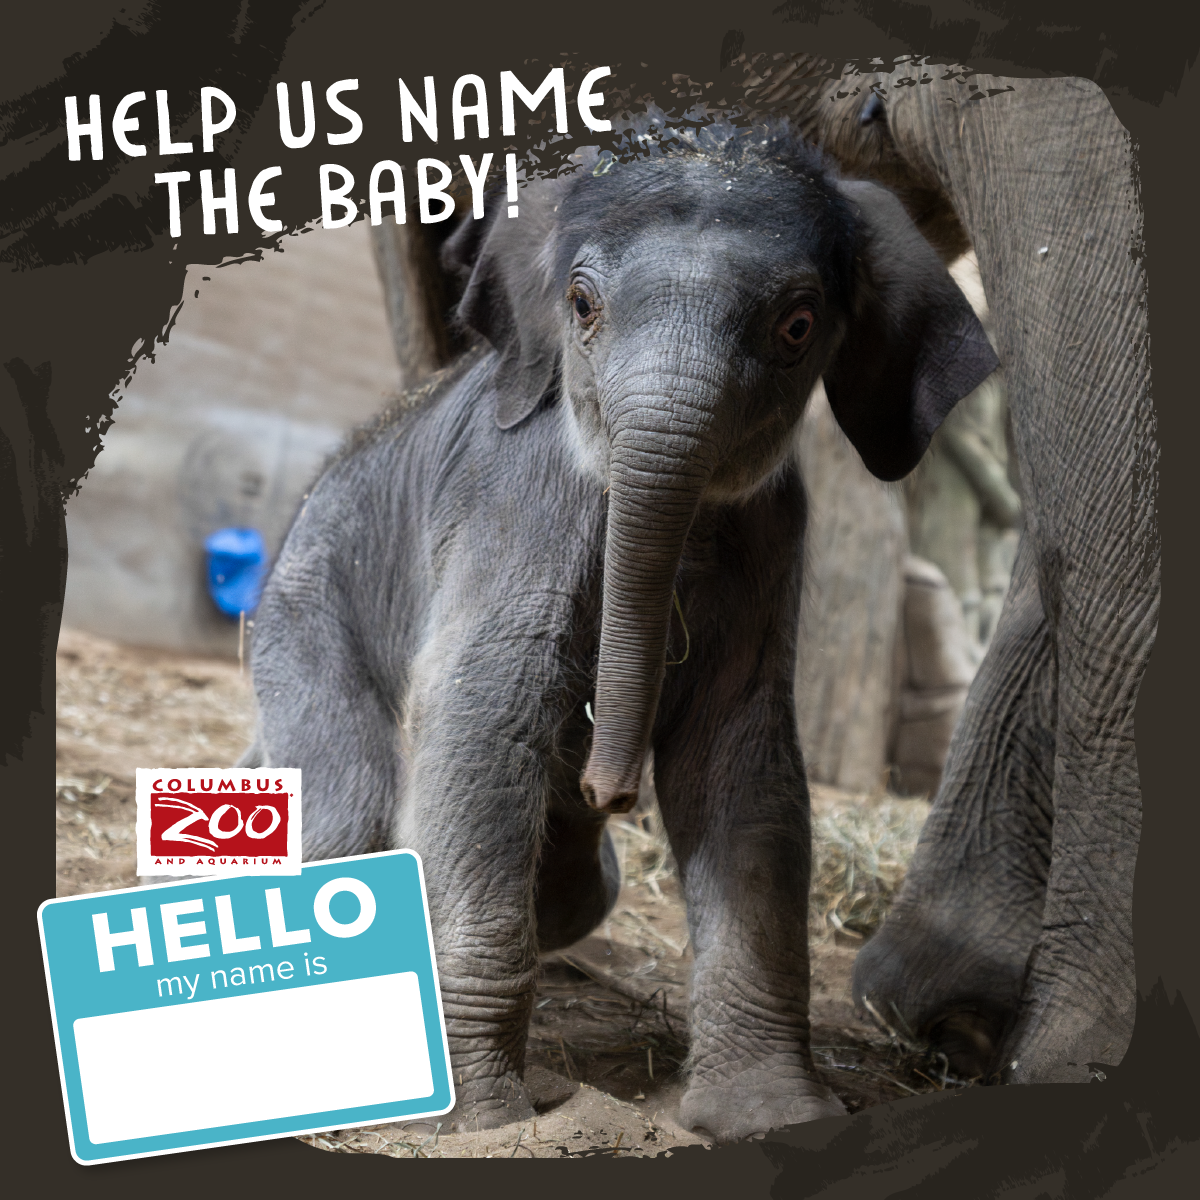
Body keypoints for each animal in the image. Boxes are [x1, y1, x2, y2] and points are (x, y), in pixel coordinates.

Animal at [242, 122, 997, 1141]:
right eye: (582, 305)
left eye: (798, 327)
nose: (611, 788)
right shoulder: (520, 502)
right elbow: (484, 716)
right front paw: (482, 1125)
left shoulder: (773, 535)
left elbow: (741, 763)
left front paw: (772, 1115)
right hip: (305, 607)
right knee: (350, 807)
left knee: (570, 884)